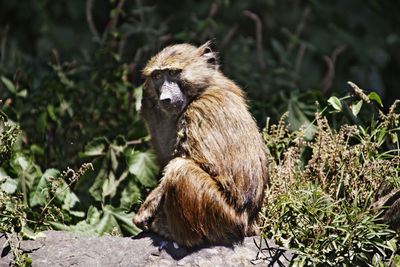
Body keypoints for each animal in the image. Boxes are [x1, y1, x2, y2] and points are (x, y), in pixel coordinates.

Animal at [133, 42, 268, 249]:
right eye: (157, 76)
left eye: (172, 73)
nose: (164, 99)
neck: (203, 91)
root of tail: (250, 224)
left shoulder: (200, 111)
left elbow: (200, 163)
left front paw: (148, 207)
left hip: (224, 217)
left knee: (181, 169)